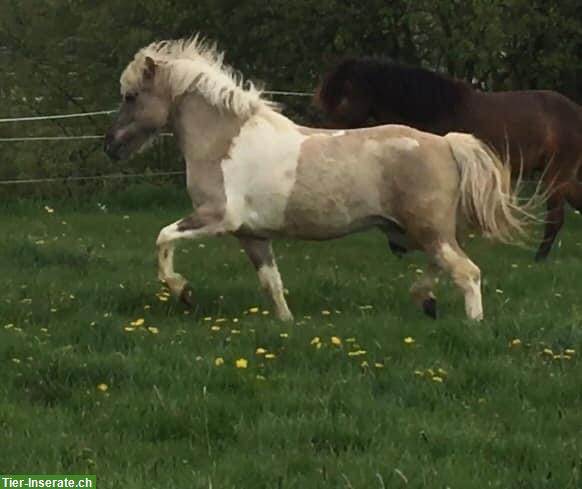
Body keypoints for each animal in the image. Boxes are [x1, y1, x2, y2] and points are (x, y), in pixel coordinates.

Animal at [104, 38, 540, 320]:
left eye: (131, 96)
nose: (111, 147)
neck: (225, 140)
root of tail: (447, 143)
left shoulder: (217, 217)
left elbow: (163, 239)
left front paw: (184, 292)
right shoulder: (251, 234)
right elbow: (272, 285)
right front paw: (286, 326)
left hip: (427, 230)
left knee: (467, 273)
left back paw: (472, 325)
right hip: (412, 231)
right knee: (443, 265)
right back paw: (425, 300)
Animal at [318, 56, 582, 260]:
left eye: (344, 97)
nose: (325, 141)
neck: (435, 109)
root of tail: (575, 111)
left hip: (555, 175)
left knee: (555, 218)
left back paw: (539, 259)